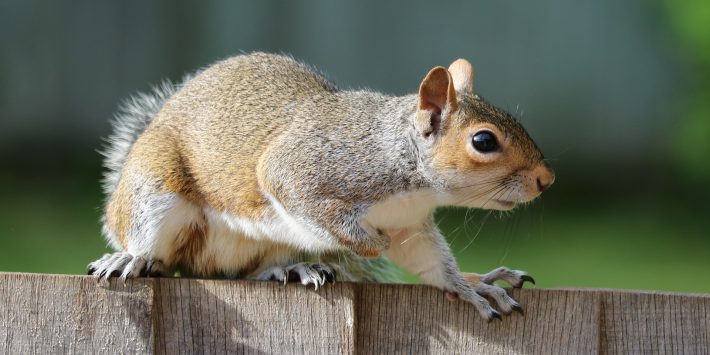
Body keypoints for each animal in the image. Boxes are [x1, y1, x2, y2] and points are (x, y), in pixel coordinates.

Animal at [87, 52, 556, 322]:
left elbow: (431, 263)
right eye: (483, 141)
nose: (546, 180)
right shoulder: (304, 169)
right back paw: (131, 258)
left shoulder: (410, 225)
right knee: (157, 250)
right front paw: (369, 243)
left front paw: (470, 286)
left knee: (242, 273)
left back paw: (292, 268)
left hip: (265, 248)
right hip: (154, 190)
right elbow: (301, 198)